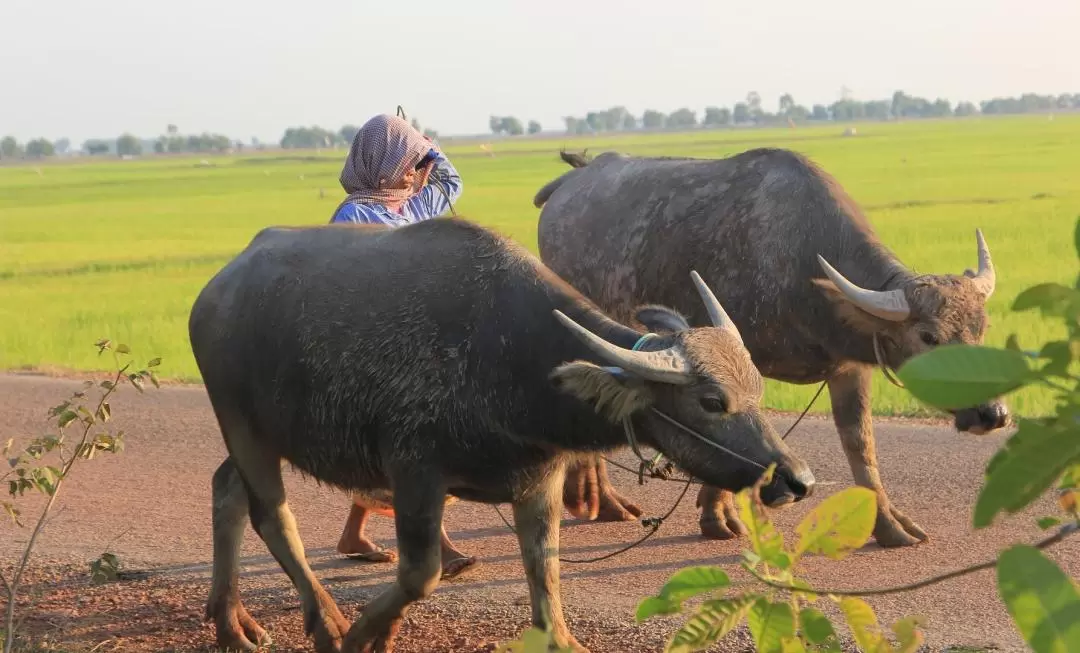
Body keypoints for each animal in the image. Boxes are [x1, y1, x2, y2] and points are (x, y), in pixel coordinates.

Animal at [187, 216, 812, 647]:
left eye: (758, 387)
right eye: (712, 402)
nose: (798, 479)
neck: (512, 357)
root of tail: (215, 290)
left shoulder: (539, 481)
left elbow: (546, 571)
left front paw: (563, 639)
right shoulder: (414, 471)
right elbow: (421, 574)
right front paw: (368, 633)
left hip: (259, 434)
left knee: (226, 490)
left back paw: (232, 622)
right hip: (241, 425)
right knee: (273, 517)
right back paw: (328, 622)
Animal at [535, 148, 1006, 550]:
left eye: (980, 328)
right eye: (929, 337)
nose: (994, 414)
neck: (799, 260)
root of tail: (572, 179)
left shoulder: (849, 368)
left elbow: (861, 444)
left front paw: (889, 525)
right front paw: (718, 517)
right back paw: (603, 500)